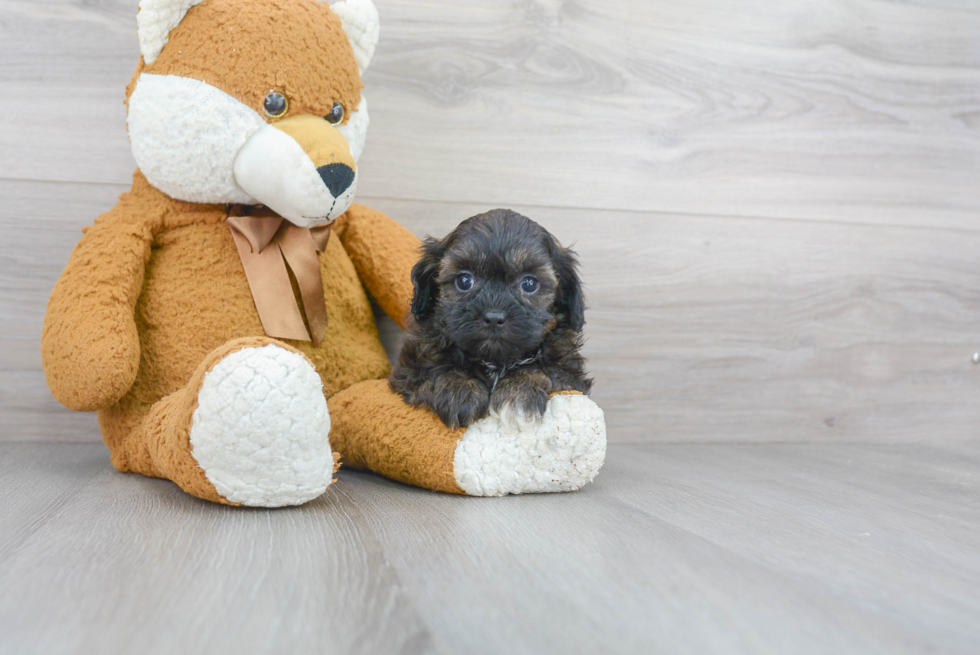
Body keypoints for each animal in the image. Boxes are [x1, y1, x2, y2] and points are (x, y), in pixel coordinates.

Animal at [388, 210, 588, 430]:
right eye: (464, 281)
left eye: (529, 284)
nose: (493, 318)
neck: (494, 360)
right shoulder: (410, 370)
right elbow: (434, 369)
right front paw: (459, 390)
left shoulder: (570, 375)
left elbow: (543, 368)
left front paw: (518, 393)